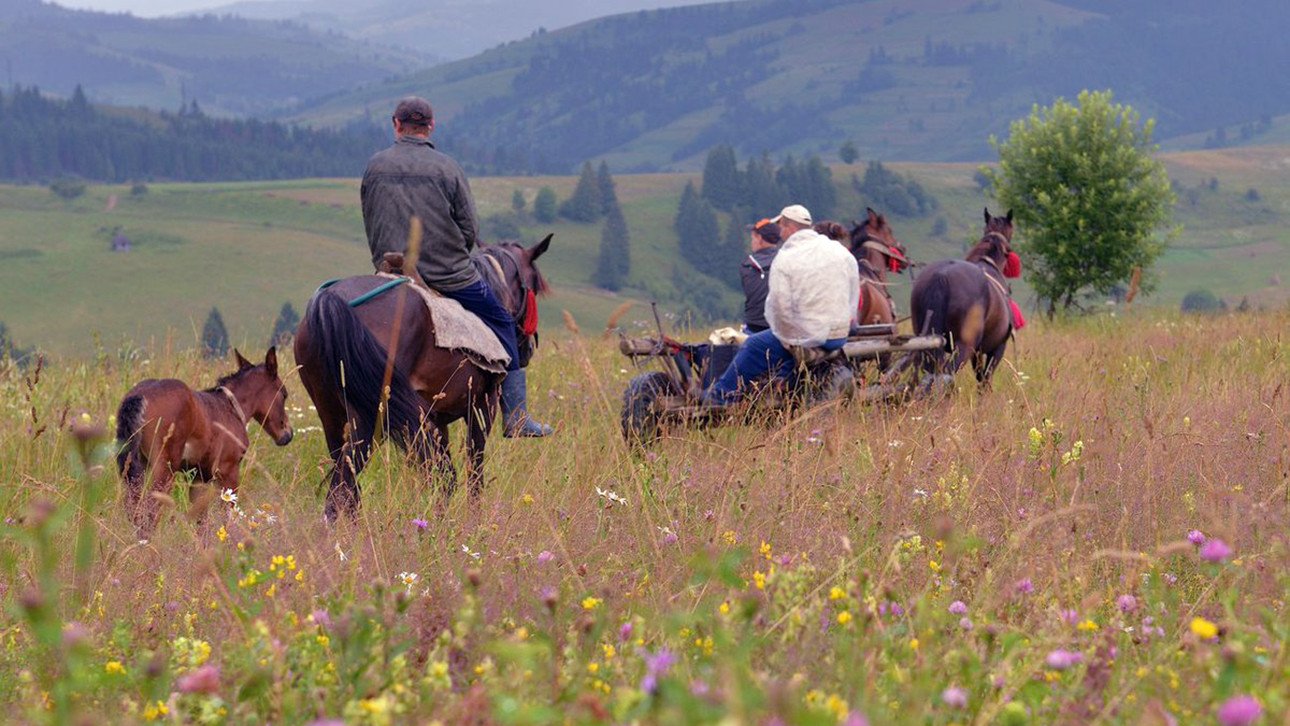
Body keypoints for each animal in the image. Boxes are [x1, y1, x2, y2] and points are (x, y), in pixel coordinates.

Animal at [116, 345, 292, 533]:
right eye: (284, 394)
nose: (287, 434)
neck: (230, 407)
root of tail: (139, 396)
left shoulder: (197, 478)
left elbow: (202, 521)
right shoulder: (229, 471)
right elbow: (227, 515)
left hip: (137, 467)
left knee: (134, 508)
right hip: (164, 468)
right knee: (149, 512)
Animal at [295, 235, 552, 520]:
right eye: (533, 286)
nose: (527, 349)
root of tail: (330, 301)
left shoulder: (437, 420)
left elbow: (443, 476)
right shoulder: (483, 406)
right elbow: (474, 469)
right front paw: (472, 519)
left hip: (331, 413)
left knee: (347, 484)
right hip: (369, 418)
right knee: (343, 486)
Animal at [897, 207, 1016, 389]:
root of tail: (941, 276)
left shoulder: (977, 352)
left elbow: (980, 377)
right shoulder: (997, 348)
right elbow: (985, 380)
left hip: (924, 341)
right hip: (963, 347)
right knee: (945, 375)